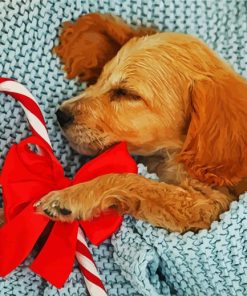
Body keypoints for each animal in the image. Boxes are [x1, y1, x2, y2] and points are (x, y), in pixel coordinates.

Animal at [35, 30, 247, 234]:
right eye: (99, 79)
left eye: (126, 93)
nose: (60, 114)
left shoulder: (209, 206)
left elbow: (133, 180)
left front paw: (71, 196)